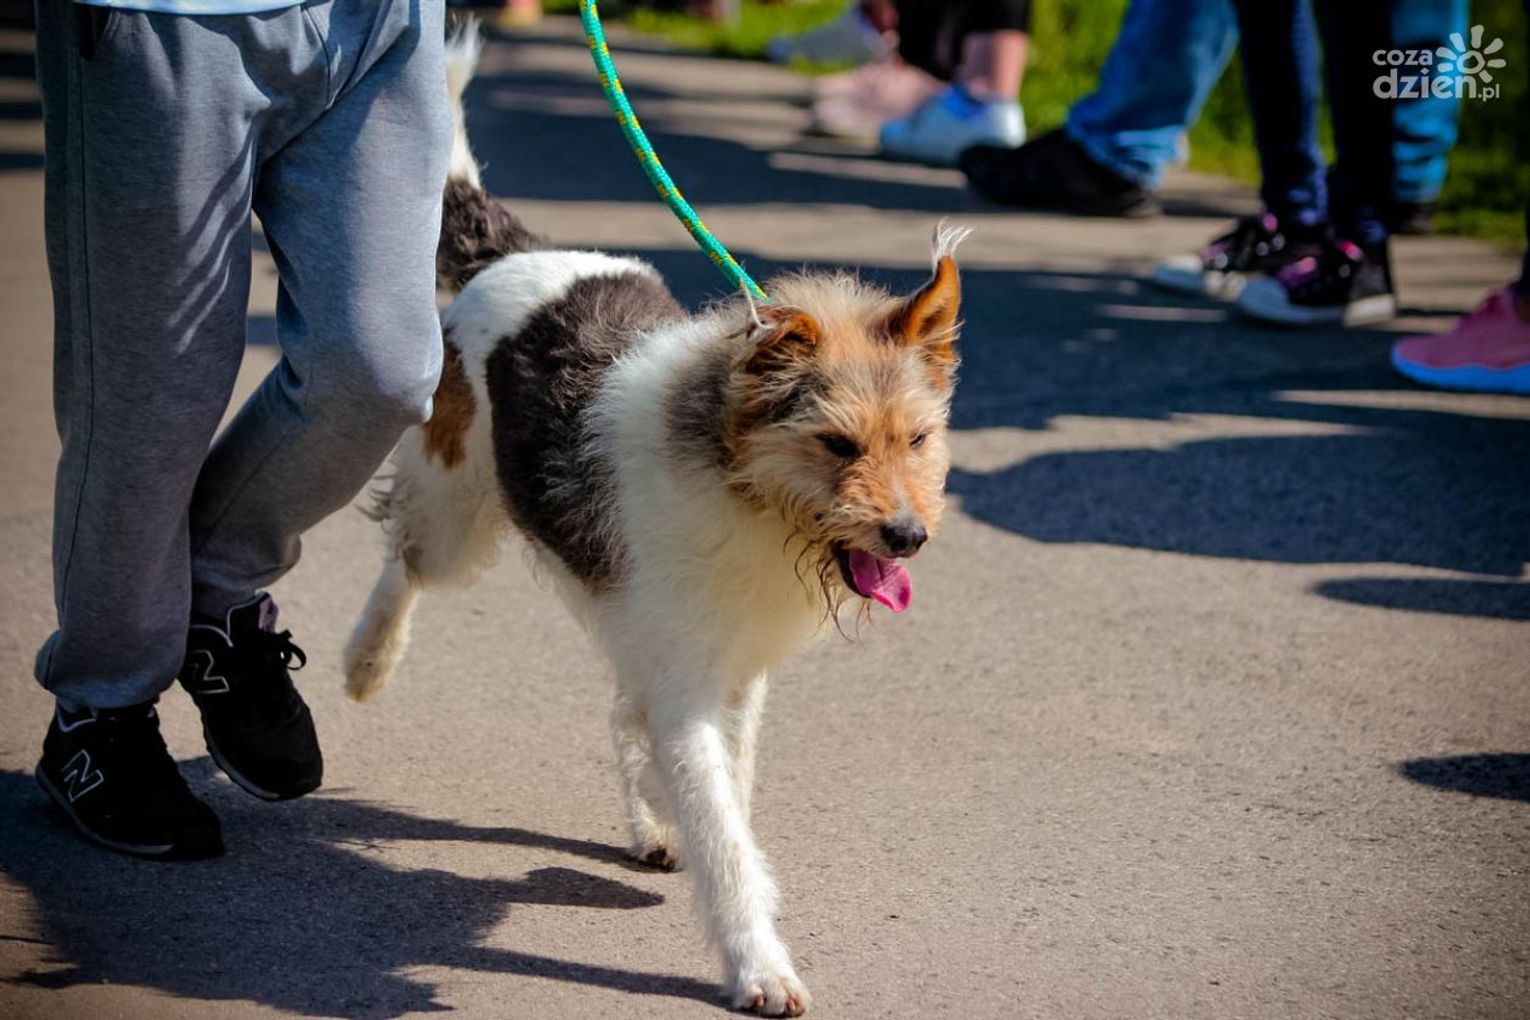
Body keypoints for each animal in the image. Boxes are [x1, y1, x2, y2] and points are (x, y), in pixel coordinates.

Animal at [344, 32, 967, 1016]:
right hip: (454, 508)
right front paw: (758, 964)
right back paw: (367, 661)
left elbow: (724, 793)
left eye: (917, 437)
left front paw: (689, 836)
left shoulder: (730, 673)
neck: (740, 486)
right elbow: (722, 829)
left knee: (614, 699)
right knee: (403, 559)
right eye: (834, 442)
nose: (907, 538)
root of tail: (518, 256)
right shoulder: (688, 681)